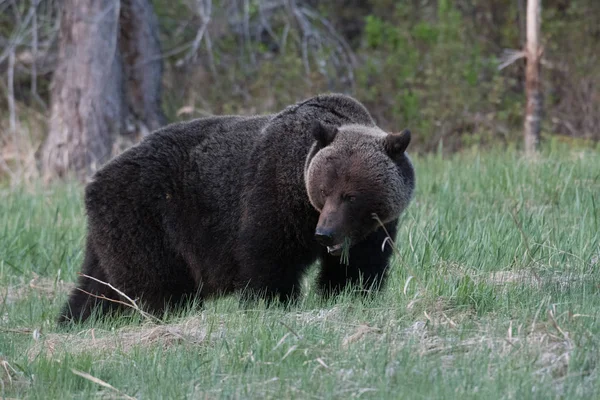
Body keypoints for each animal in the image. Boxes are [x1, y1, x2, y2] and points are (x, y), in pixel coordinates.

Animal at [58, 94, 414, 324]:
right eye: (324, 191)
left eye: (350, 195)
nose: (325, 234)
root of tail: (95, 180)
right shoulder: (273, 195)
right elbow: (267, 256)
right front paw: (272, 303)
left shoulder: (374, 228)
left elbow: (359, 267)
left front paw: (352, 294)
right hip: (148, 219)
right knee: (158, 282)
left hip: (110, 234)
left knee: (96, 286)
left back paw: (75, 320)